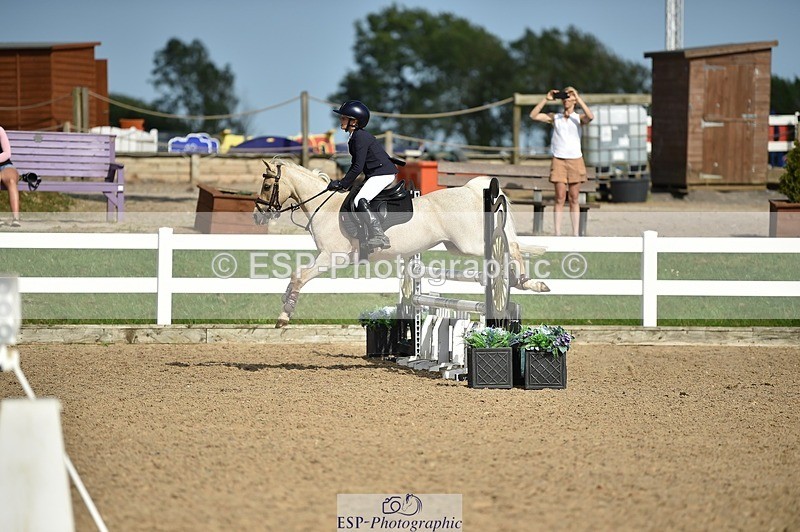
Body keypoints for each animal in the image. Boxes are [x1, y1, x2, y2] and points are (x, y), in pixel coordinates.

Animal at [253, 159, 550, 327]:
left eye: (267, 186)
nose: (258, 215)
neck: (324, 206)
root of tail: (470, 190)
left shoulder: (331, 257)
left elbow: (301, 276)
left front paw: (285, 315)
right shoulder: (325, 256)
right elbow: (296, 274)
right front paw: (285, 301)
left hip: (471, 243)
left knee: (511, 248)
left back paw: (528, 282)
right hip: (457, 245)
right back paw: (525, 282)